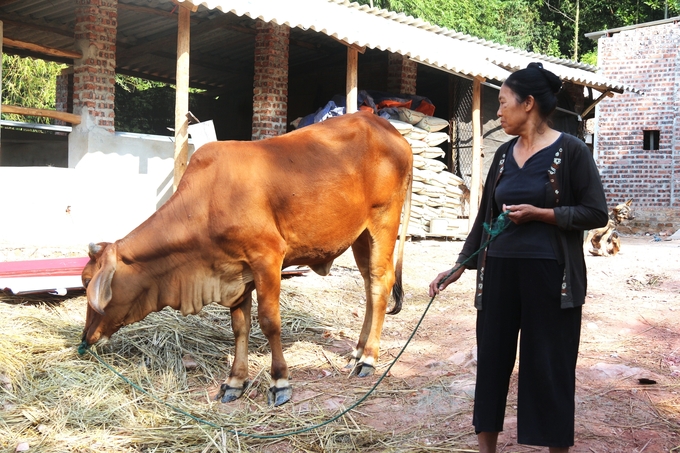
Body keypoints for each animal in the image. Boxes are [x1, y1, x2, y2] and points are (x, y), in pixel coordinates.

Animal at [81, 112, 410, 406]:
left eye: (87, 283)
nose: (85, 340)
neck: (206, 202)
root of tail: (391, 132)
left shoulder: (267, 259)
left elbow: (269, 322)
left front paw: (279, 382)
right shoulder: (235, 272)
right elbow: (240, 327)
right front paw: (235, 381)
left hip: (383, 221)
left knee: (380, 285)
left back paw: (368, 358)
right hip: (360, 237)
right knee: (369, 287)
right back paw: (357, 351)